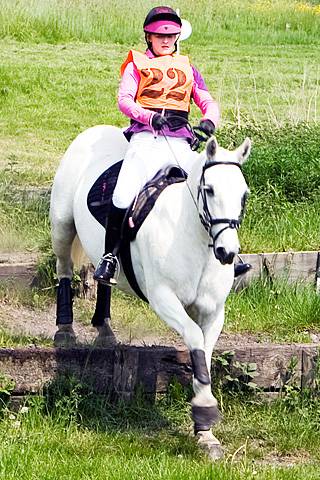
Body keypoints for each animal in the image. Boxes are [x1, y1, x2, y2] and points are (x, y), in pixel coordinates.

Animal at [50, 125, 251, 460]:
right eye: (209, 190)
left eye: (244, 194)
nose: (227, 252)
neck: (194, 238)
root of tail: (95, 130)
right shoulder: (163, 298)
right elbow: (194, 338)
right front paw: (205, 411)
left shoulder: (214, 311)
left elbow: (204, 355)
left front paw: (205, 432)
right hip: (62, 226)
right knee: (64, 268)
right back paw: (64, 330)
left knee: (103, 277)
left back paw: (105, 329)